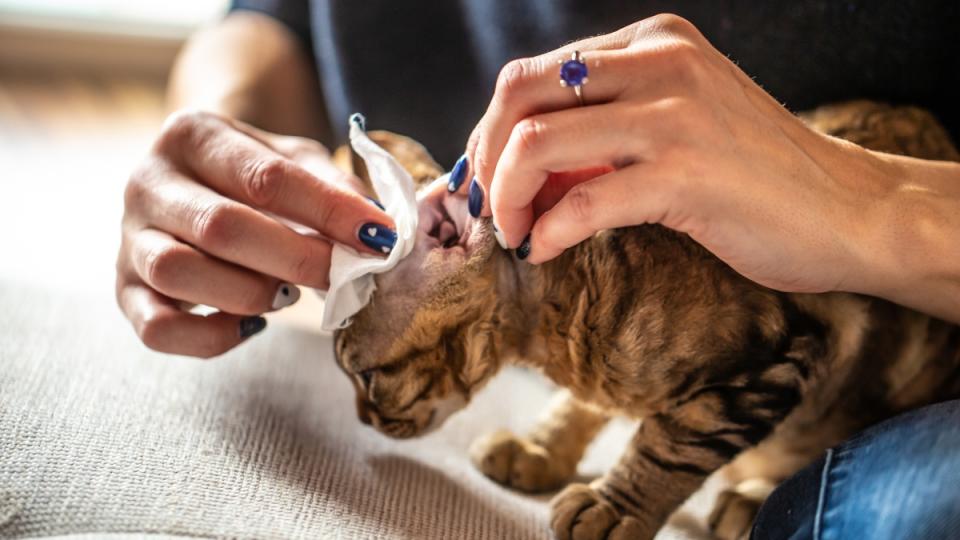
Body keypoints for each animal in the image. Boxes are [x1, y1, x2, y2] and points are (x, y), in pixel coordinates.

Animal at [332, 102, 960, 540]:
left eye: (366, 378)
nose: (361, 419)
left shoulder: (789, 351)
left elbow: (671, 446)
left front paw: (614, 507)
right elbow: (581, 406)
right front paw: (541, 447)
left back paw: (750, 498)